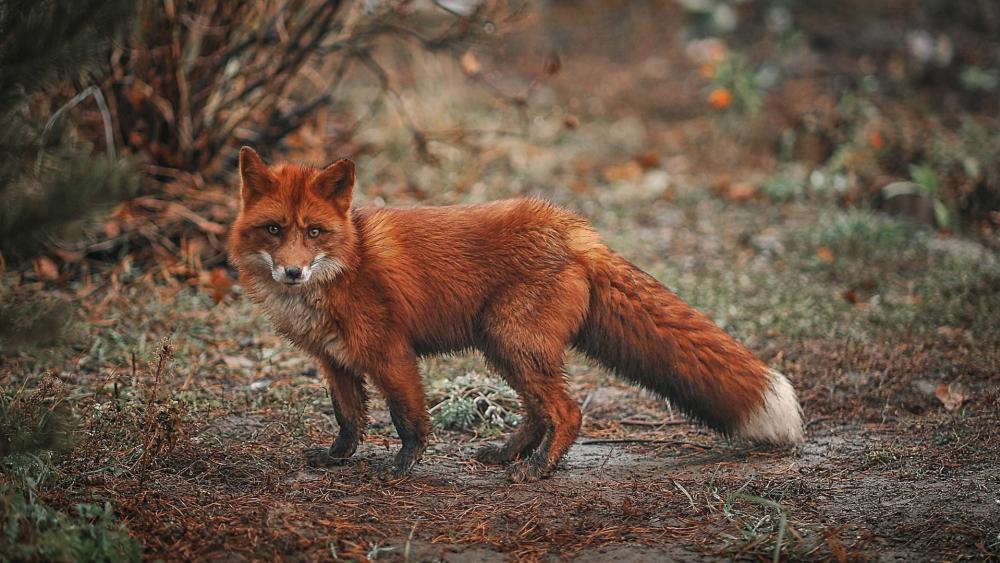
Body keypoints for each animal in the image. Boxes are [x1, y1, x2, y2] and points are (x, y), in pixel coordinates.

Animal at [228, 147, 804, 482]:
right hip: (502, 347)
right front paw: (337, 459)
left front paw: (402, 466)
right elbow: (348, 419)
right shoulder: (335, 361)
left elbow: (408, 418)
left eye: (314, 232)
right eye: (275, 230)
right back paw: (511, 455)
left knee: (566, 411)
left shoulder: (391, 353)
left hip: (512, 341)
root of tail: (572, 228)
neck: (349, 260)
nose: (292, 273)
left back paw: (544, 467)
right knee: (537, 412)